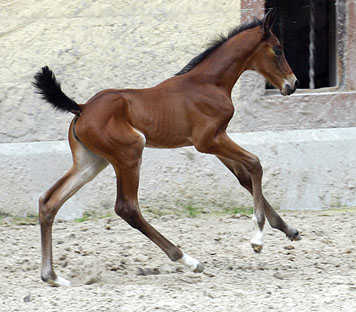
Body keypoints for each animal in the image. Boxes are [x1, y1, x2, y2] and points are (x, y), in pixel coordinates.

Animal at [33, 11, 300, 286]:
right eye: (278, 50)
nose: (293, 84)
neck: (209, 83)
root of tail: (81, 108)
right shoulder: (208, 141)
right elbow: (256, 163)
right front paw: (257, 239)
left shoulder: (217, 139)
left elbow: (244, 177)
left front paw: (289, 229)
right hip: (130, 152)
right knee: (127, 208)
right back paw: (188, 260)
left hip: (91, 162)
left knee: (49, 201)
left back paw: (52, 276)